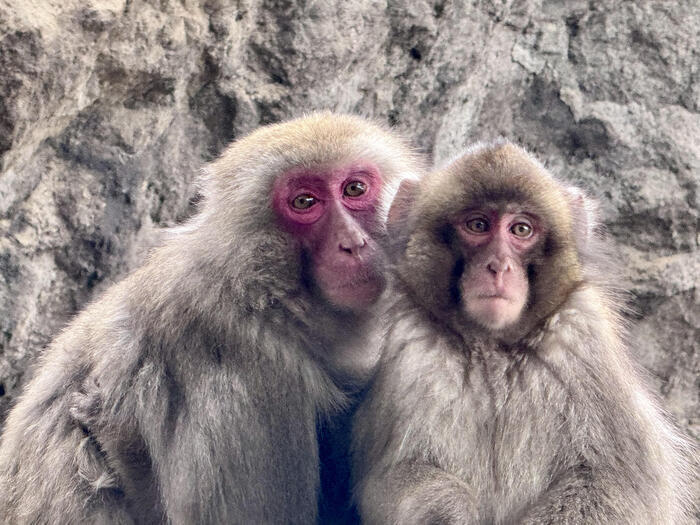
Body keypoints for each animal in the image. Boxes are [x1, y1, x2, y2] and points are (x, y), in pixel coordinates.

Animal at [350, 140, 696, 524]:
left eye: (521, 230)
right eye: (478, 224)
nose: (498, 266)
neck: (492, 348)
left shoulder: (584, 344)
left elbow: (614, 483)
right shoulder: (411, 350)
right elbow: (394, 477)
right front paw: (449, 509)